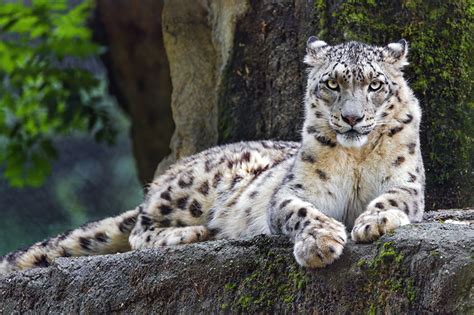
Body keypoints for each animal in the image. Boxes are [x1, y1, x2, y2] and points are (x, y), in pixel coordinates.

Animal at [0, 36, 426, 274]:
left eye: (374, 85)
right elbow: (300, 211)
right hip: (197, 188)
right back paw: (195, 232)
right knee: (140, 228)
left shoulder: (407, 181)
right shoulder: (296, 190)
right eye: (333, 84)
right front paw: (320, 243)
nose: (352, 118)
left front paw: (375, 221)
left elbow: (395, 197)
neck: (356, 159)